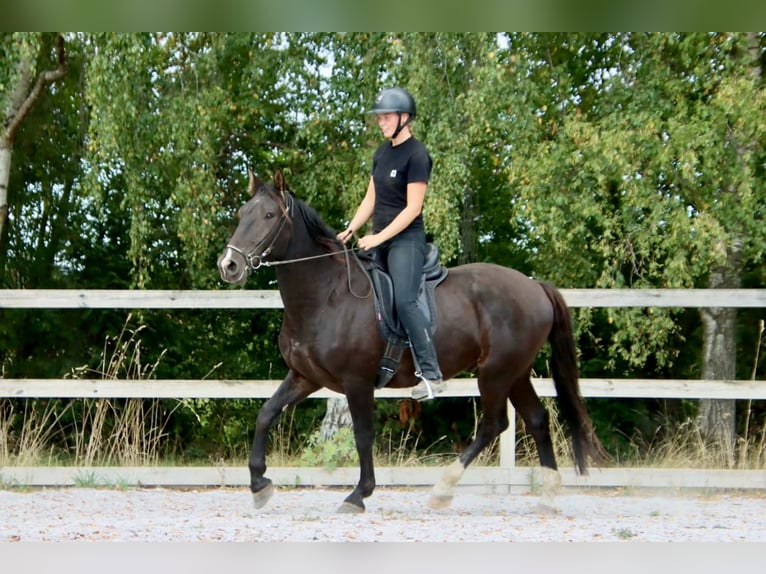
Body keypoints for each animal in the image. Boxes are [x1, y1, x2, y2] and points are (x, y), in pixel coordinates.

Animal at [217, 168, 607, 514]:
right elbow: (266, 414)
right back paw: (547, 497)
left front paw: (359, 494)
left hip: (495, 373)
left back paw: (443, 489)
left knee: (494, 424)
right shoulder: (305, 377)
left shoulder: (357, 381)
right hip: (515, 372)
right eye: (241, 214)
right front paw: (259, 486)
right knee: (537, 419)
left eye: (269, 216)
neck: (325, 295)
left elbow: (363, 434)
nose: (229, 265)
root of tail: (534, 285)